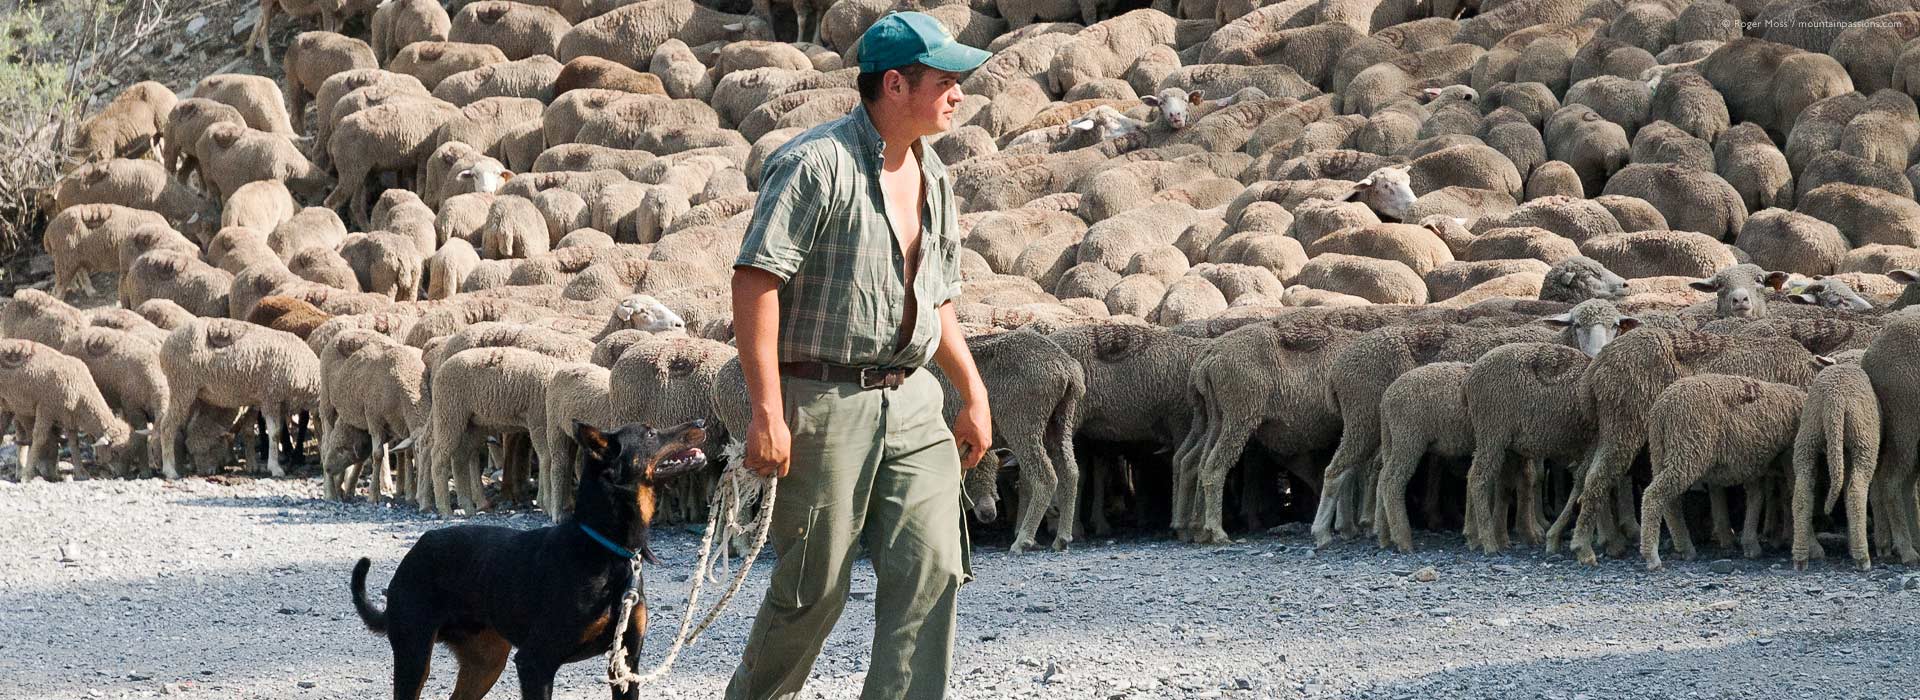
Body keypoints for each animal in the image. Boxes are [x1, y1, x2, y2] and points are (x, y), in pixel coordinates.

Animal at [349, 418, 710, 694]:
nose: (702, 422)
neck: (606, 547)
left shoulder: (625, 664)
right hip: (414, 654)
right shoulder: (535, 662)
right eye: (650, 433)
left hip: (486, 660)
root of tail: (416, 550)